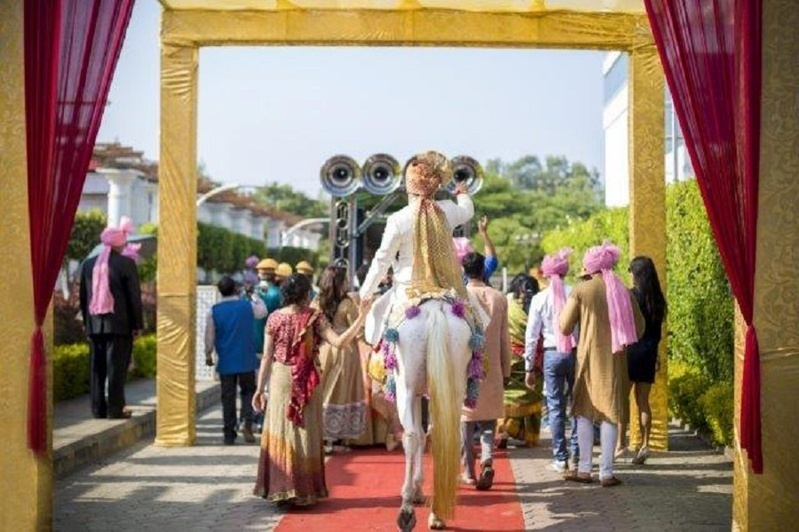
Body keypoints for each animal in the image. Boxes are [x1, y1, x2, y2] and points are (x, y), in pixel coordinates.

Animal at [392, 302, 478, 528]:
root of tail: (435, 310)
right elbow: (424, 435)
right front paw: (418, 488)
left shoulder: (414, 393)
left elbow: (418, 435)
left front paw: (415, 490)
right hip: (454, 385)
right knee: (446, 437)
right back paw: (437, 514)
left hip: (406, 386)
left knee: (410, 437)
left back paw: (406, 510)